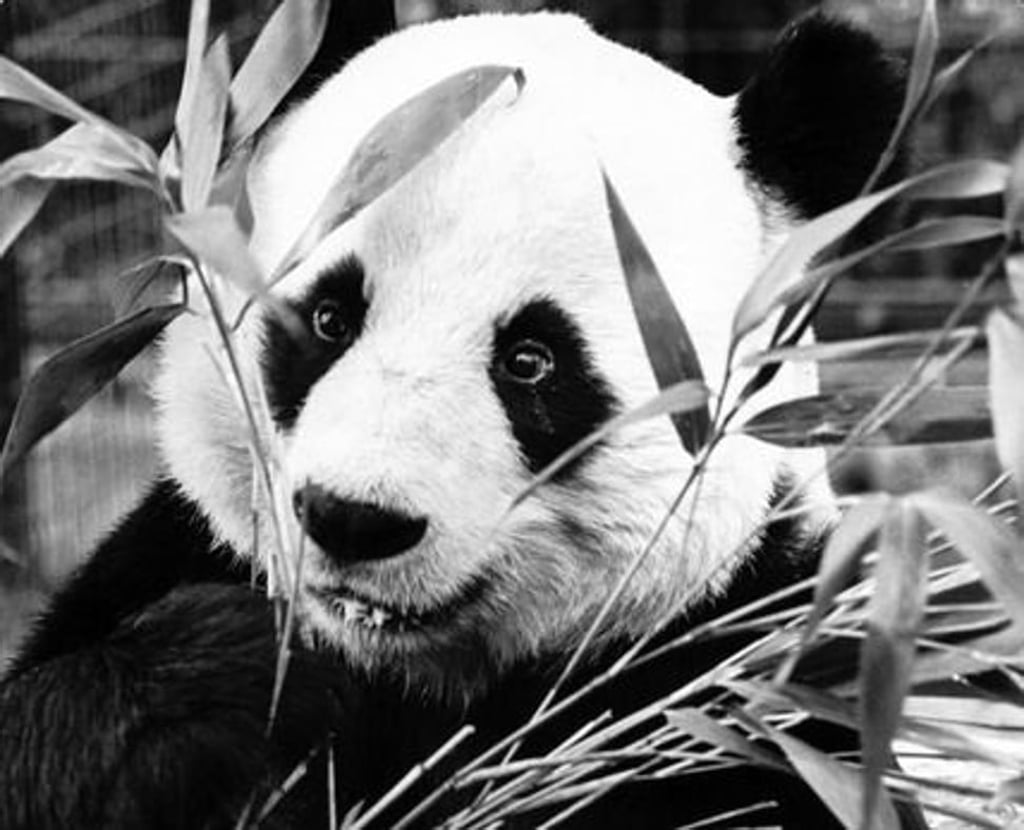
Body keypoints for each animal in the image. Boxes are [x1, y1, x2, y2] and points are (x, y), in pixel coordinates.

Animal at [0, 10, 925, 830]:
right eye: (329, 318)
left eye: (531, 360)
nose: (354, 519)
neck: (413, 675)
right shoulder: (169, 551)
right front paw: (228, 680)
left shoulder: (758, 687)